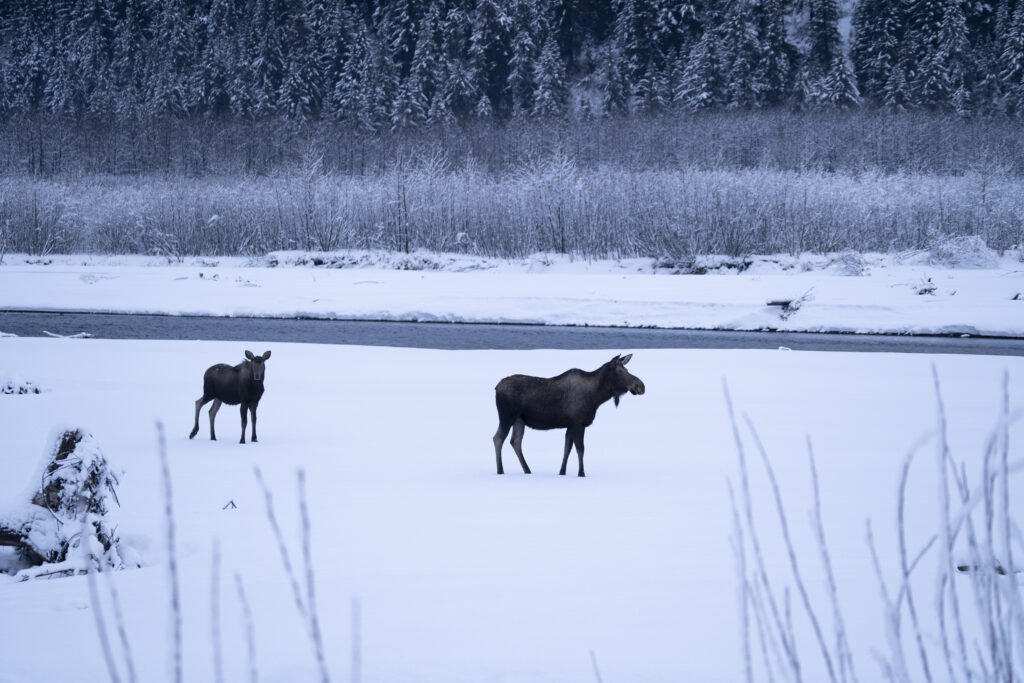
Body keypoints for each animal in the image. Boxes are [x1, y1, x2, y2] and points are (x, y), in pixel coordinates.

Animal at [491, 356, 643, 479]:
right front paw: (581, 473)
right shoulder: (578, 423)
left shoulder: (570, 425)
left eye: (627, 369)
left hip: (519, 420)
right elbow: (580, 449)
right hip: (506, 416)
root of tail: (496, 387)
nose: (641, 386)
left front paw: (562, 472)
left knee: (515, 441)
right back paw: (500, 470)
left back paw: (527, 470)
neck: (596, 397)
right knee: (498, 438)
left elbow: (567, 448)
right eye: (620, 371)